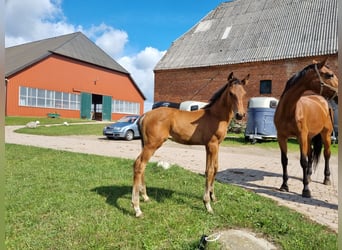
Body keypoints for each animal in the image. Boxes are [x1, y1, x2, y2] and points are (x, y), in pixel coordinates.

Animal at [132, 72, 248, 217]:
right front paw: (207, 204)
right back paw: (137, 208)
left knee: (142, 166)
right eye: (231, 93)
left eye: (244, 93)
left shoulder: (212, 146)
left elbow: (213, 168)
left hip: (146, 144)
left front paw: (213, 197)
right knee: (139, 165)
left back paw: (145, 197)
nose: (240, 115)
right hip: (152, 145)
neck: (215, 116)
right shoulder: (212, 145)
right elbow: (210, 171)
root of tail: (145, 115)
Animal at [274, 58, 338, 197]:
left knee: (327, 154)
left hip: (325, 135)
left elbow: (302, 161)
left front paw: (306, 190)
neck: (289, 110)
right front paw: (284, 185)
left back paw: (326, 179)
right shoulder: (281, 137)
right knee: (311, 154)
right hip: (309, 138)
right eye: (329, 75)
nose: (338, 95)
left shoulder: (301, 136)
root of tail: (323, 101)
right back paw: (308, 176)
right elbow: (284, 160)